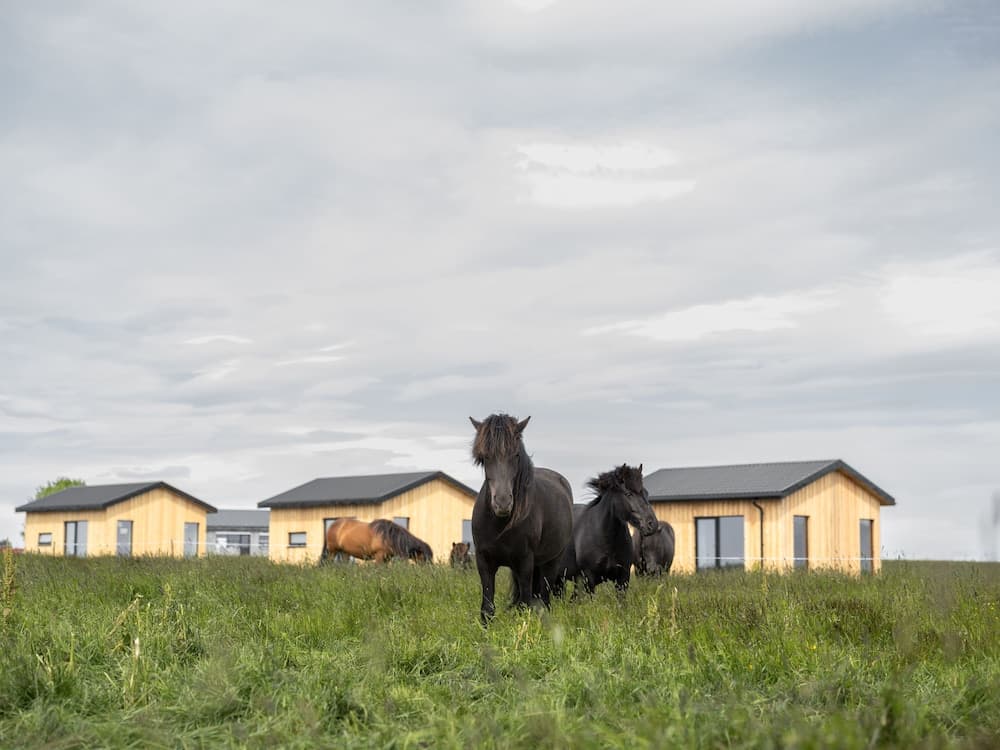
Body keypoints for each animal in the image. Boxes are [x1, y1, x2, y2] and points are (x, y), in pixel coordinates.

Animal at [469, 414, 574, 625]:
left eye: (516, 455)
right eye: (485, 457)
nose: (502, 502)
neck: (499, 526)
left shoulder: (525, 562)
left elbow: (525, 604)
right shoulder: (484, 562)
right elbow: (487, 608)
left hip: (551, 562)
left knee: (544, 598)